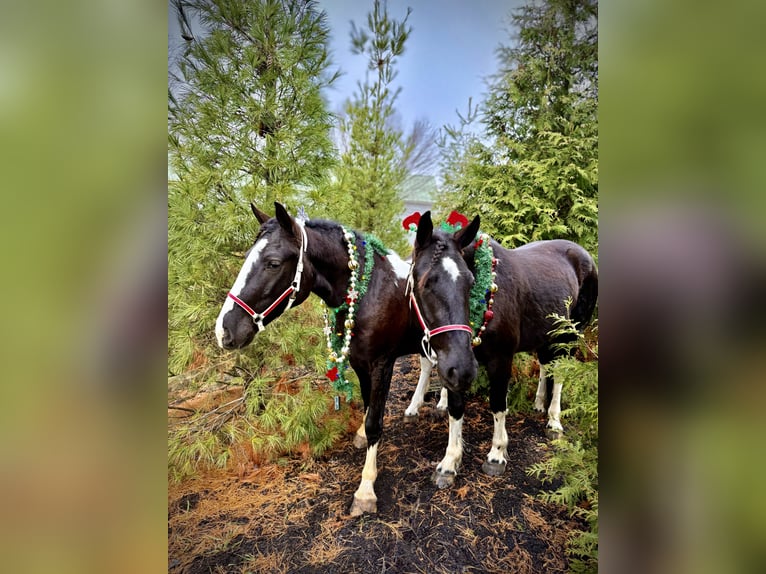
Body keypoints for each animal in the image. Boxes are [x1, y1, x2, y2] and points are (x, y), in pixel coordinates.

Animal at [214, 202, 478, 515]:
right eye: (246, 258)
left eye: (273, 263)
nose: (225, 329)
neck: (369, 291)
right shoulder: (360, 363)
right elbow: (367, 410)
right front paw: (362, 437)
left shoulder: (382, 365)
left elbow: (375, 422)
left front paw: (365, 491)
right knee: (430, 365)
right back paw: (421, 406)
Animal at [407, 211, 598, 479]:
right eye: (424, 283)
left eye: (471, 281)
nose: (464, 369)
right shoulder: (451, 365)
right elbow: (456, 408)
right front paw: (450, 461)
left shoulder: (499, 359)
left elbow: (498, 405)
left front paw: (497, 454)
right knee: (545, 364)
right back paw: (539, 403)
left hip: (570, 334)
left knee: (560, 372)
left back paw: (554, 421)